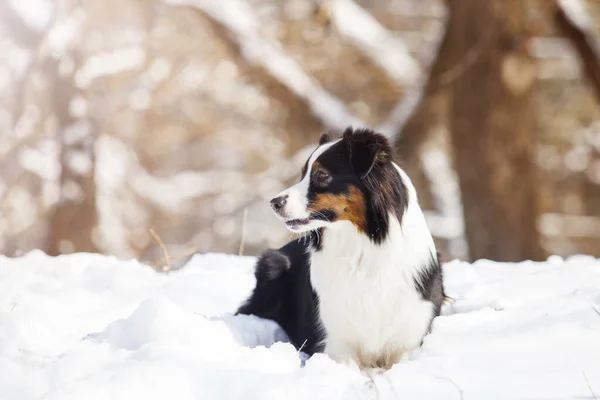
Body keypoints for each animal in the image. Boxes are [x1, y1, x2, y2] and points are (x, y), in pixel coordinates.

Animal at [237, 128, 442, 372]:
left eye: (322, 175)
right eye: (302, 174)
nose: (274, 202)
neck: (362, 249)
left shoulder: (408, 341)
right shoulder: (336, 345)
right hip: (273, 264)